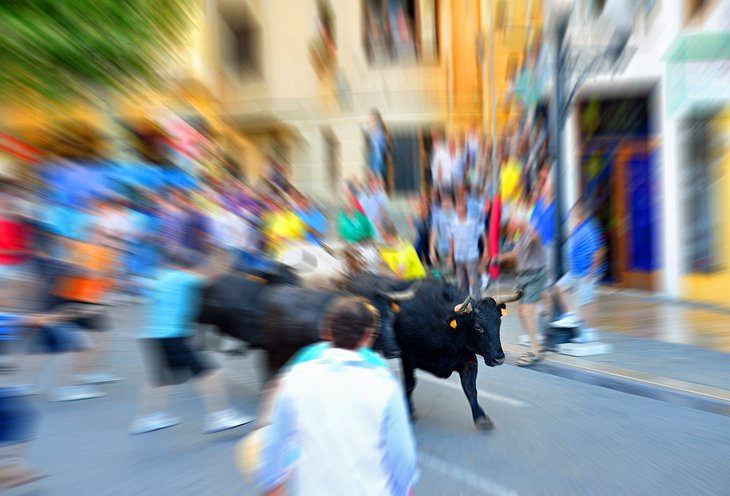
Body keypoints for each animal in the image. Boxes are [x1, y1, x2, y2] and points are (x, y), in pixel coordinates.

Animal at [198, 272, 516, 430]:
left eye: (498, 321)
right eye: (478, 325)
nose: (500, 357)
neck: (444, 322)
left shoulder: (467, 358)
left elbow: (470, 390)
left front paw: (481, 418)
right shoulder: (409, 355)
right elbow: (409, 385)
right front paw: (409, 412)